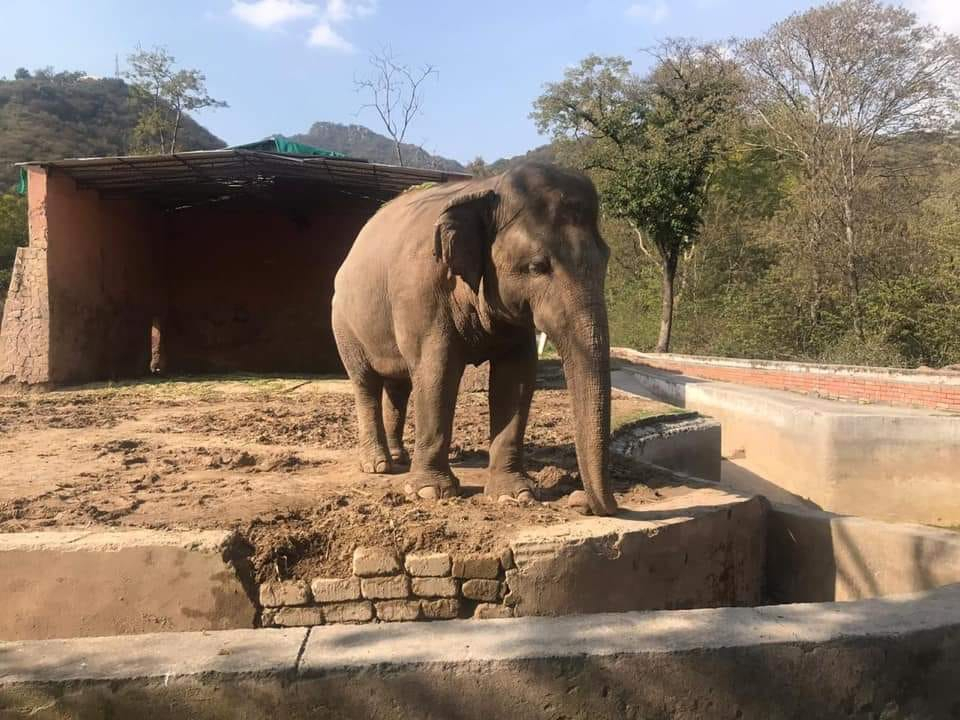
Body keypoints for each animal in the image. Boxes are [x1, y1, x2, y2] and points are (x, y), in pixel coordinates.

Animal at [331, 162, 618, 516]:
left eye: (605, 259)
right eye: (537, 267)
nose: (582, 502)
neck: (486, 189)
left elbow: (516, 378)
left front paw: (514, 496)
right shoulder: (422, 294)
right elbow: (437, 372)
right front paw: (430, 492)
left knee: (399, 385)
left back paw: (399, 458)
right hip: (343, 324)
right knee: (365, 382)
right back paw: (378, 466)